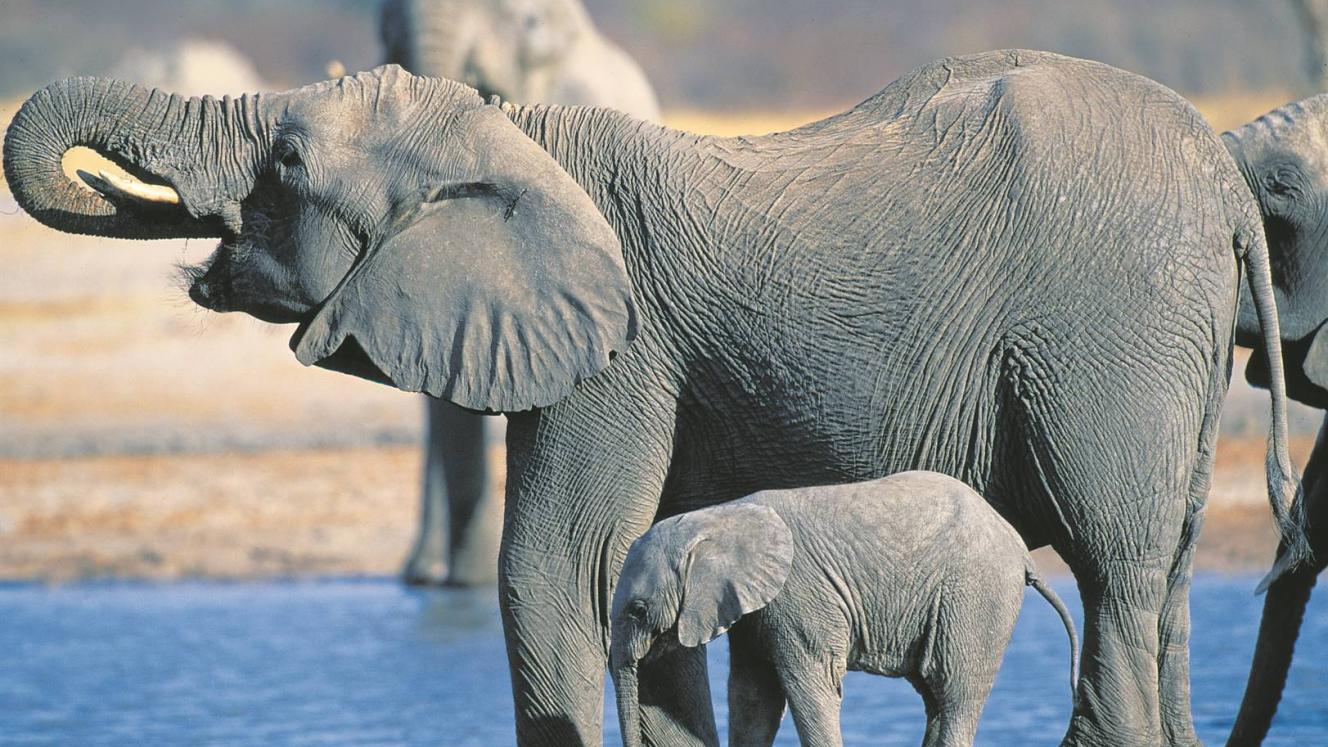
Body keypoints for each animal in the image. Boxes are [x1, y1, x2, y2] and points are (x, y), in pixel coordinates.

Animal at [609, 472, 1080, 747]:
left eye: (637, 609)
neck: (719, 516)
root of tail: (1020, 547)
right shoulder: (752, 605)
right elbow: (752, 696)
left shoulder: (798, 596)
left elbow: (811, 687)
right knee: (936, 697)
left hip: (975, 594)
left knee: (955, 694)